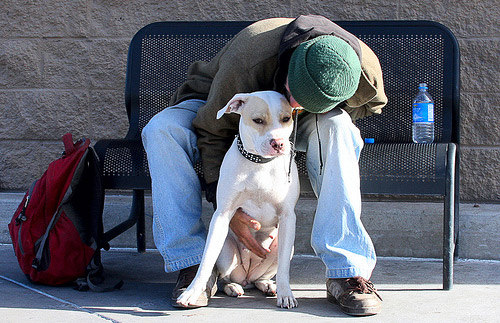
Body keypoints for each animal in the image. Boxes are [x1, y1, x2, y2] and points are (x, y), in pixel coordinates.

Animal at [177, 90, 298, 308]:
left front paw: (286, 294)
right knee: (225, 277)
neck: (260, 163)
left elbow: (284, 267)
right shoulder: (222, 215)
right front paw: (191, 292)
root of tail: (248, 276)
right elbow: (206, 260)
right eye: (258, 120)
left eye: (286, 118)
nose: (278, 143)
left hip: (284, 248)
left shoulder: (287, 218)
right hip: (226, 251)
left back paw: (267, 284)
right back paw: (232, 287)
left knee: (264, 275)